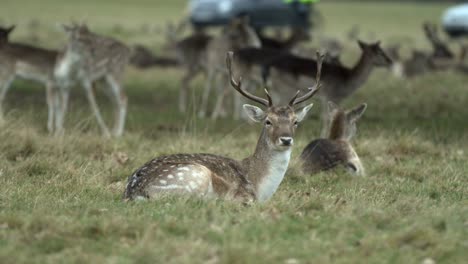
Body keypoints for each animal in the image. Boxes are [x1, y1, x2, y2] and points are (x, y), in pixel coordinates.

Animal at [122, 52, 324, 204]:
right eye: (268, 121)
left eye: (295, 121)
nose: (286, 139)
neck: (260, 186)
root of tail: (133, 192)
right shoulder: (244, 194)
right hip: (196, 175)